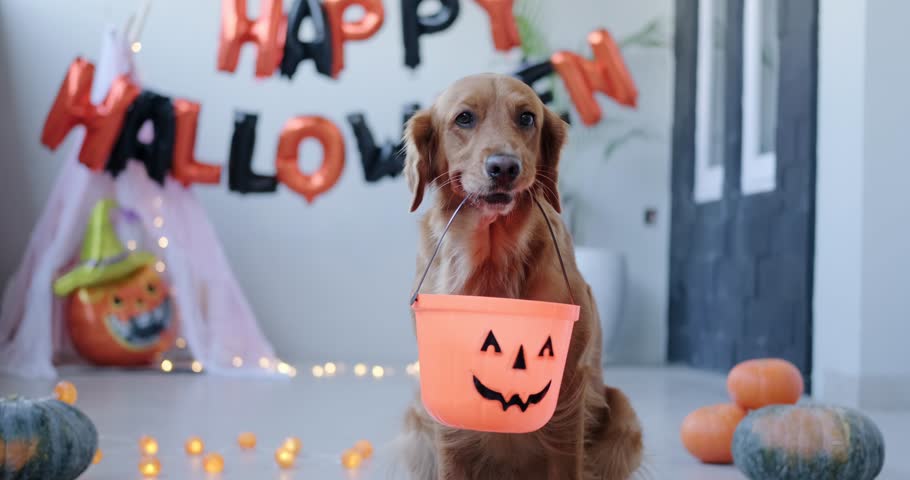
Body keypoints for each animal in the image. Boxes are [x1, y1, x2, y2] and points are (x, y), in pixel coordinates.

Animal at [400, 73, 648, 478]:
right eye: (464, 118)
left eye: (527, 118)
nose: (504, 167)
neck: (492, 260)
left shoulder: (568, 390)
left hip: (623, 418)